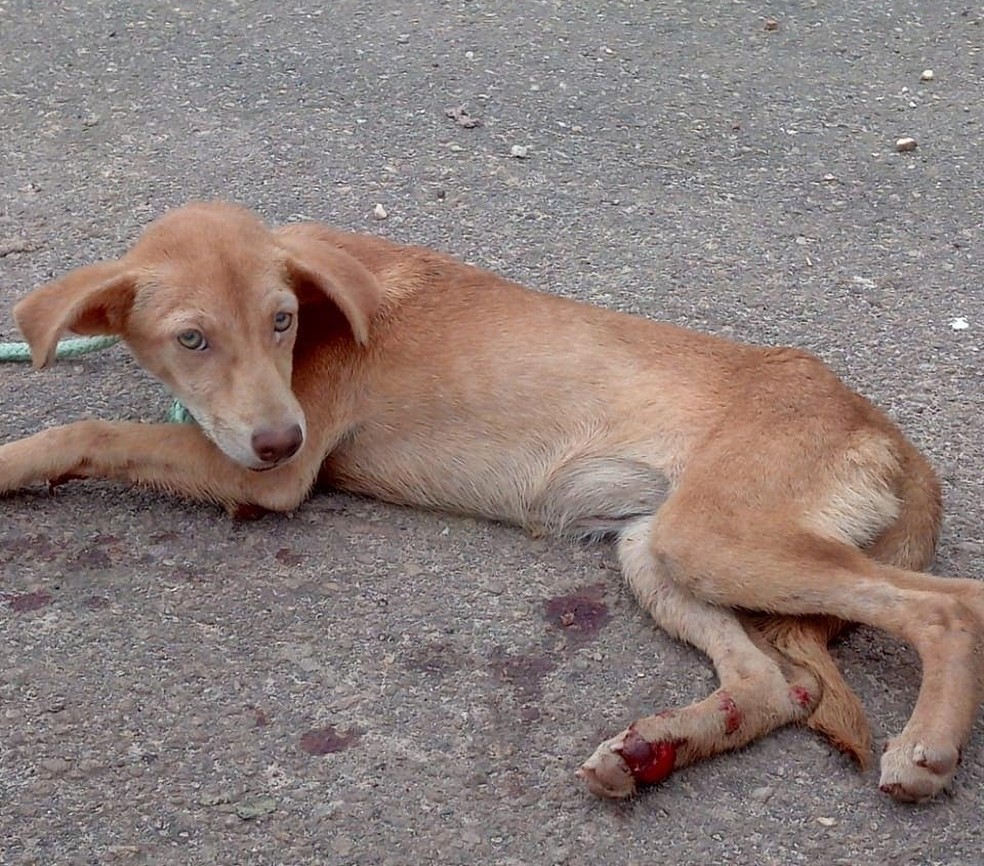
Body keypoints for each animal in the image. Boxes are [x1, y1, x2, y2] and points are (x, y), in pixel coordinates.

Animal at [3, 202, 980, 804]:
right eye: (192, 339)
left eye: (282, 321)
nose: (278, 434)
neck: (323, 291)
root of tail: (891, 435)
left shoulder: (271, 476)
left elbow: (88, 430)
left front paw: (14, 461)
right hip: (656, 547)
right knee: (772, 685)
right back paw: (654, 750)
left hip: (719, 538)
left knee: (949, 606)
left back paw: (926, 747)